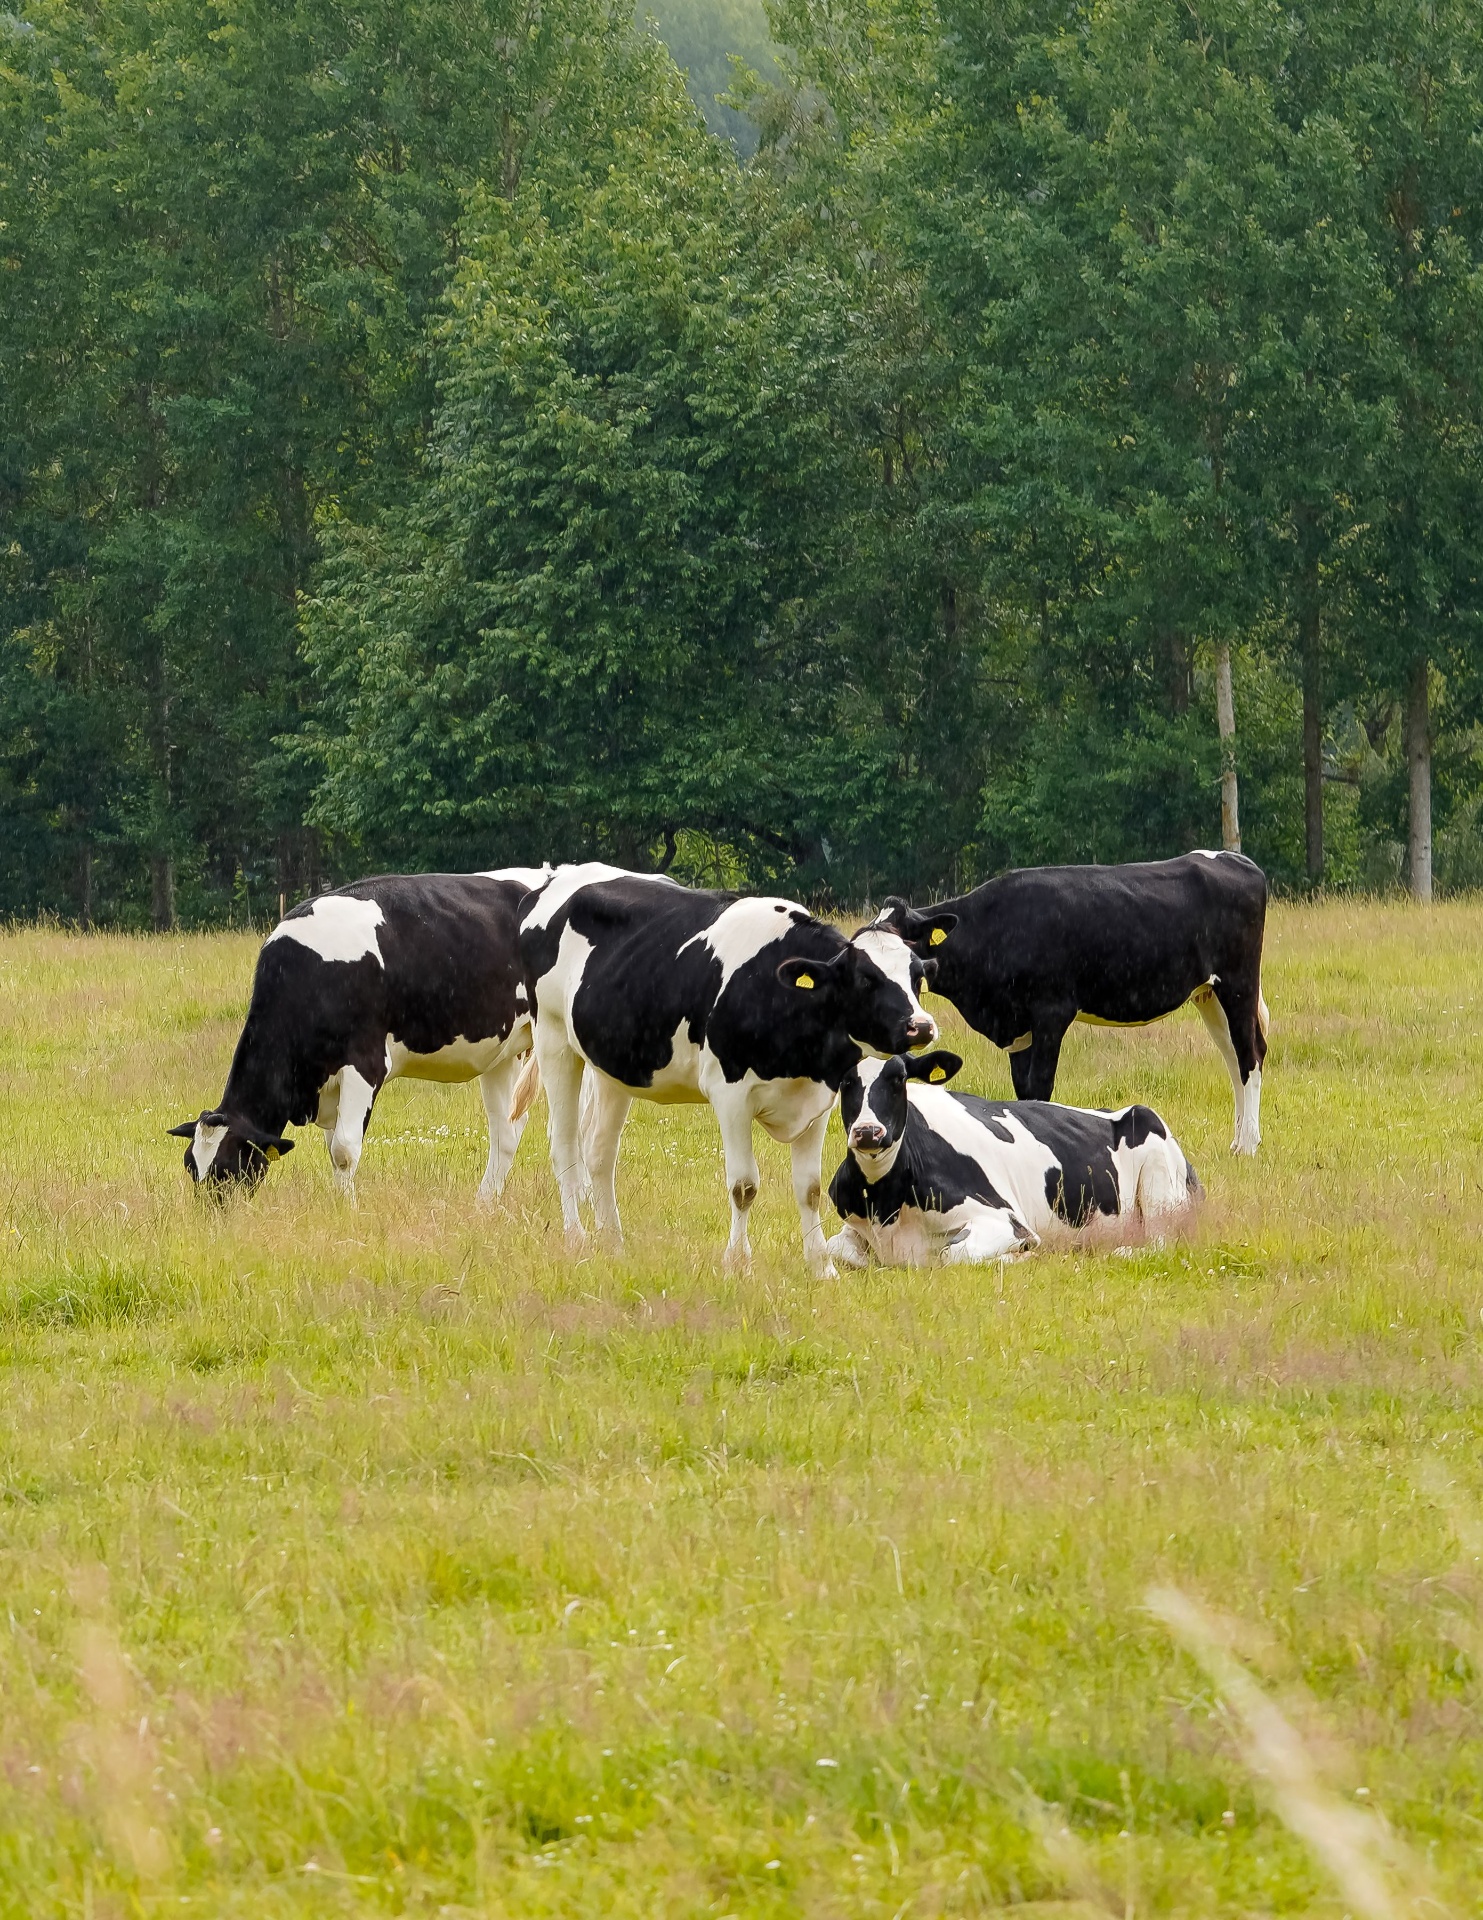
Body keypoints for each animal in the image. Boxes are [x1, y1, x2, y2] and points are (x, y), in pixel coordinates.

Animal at [168, 868, 552, 1194]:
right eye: (190, 1167)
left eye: (228, 1168)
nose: (215, 1219)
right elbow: (333, 1149)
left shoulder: (364, 1064)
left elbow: (344, 1150)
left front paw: (346, 1212)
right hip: (503, 1053)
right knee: (506, 1131)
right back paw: (484, 1204)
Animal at [515, 864, 940, 1273]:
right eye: (866, 980)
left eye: (918, 977)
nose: (921, 1026)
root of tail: (557, 877)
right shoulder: (730, 1095)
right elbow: (744, 1185)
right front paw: (738, 1263)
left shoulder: (820, 1097)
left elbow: (810, 1188)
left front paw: (821, 1267)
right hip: (553, 1036)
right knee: (564, 1147)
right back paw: (577, 1239)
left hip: (611, 1066)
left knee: (600, 1151)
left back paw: (613, 1245)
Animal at [827, 1050, 1201, 1267]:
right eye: (845, 1082)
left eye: (900, 1079)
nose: (868, 1131)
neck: (884, 1203)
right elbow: (836, 1249)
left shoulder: (1005, 1219)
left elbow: (953, 1254)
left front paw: (1022, 1256)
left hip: (1160, 1189)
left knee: (1159, 1243)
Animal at [873, 851, 1269, 1154]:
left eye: (907, 952)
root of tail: (1234, 858)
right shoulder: (1018, 1025)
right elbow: (1023, 1089)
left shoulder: (1052, 1012)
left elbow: (1040, 1085)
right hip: (1208, 993)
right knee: (1234, 1056)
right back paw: (1238, 1140)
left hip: (1238, 982)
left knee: (1249, 1055)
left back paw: (1247, 1145)